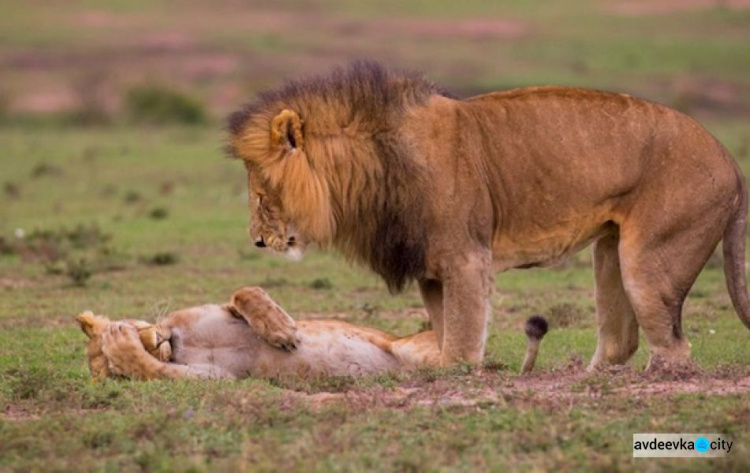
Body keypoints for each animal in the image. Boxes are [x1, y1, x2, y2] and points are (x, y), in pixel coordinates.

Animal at [229, 61, 750, 368]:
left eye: (261, 193)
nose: (255, 241)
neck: (372, 167)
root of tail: (729, 160)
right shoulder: (430, 270)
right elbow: (445, 333)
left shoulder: (465, 258)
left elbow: (460, 341)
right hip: (610, 251)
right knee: (620, 339)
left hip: (650, 260)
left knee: (676, 349)